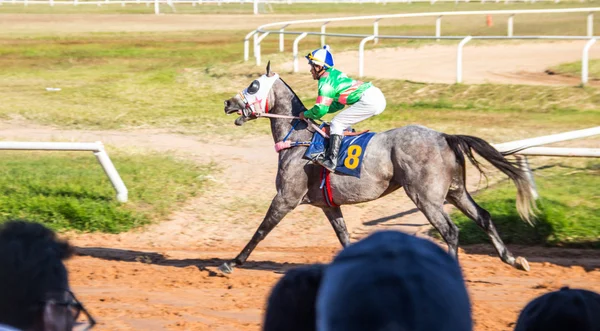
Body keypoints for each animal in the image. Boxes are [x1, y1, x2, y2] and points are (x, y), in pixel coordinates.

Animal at [220, 63, 536, 274]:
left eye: (253, 85)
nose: (228, 103)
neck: (299, 138)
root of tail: (445, 136)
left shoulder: (285, 198)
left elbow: (261, 230)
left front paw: (232, 262)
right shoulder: (328, 205)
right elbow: (344, 236)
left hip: (426, 197)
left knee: (450, 231)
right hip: (455, 191)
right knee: (483, 217)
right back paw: (514, 259)